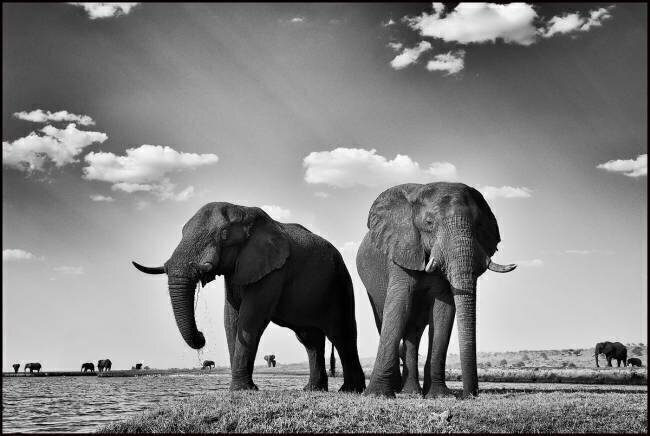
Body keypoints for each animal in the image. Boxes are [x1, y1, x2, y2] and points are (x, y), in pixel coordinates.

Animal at [133, 202, 366, 392]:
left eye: (224, 234)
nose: (201, 335)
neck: (244, 212)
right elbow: (231, 319)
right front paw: (241, 390)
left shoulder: (274, 269)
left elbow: (250, 318)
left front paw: (242, 390)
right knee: (310, 339)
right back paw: (312, 390)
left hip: (341, 283)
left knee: (341, 334)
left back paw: (350, 390)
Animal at [356, 182, 516, 398]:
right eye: (429, 223)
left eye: (478, 225)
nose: (469, 394)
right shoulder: (401, 251)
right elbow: (398, 305)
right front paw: (377, 395)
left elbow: (443, 311)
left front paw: (440, 395)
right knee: (385, 320)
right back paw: (404, 391)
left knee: (414, 331)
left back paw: (411, 392)